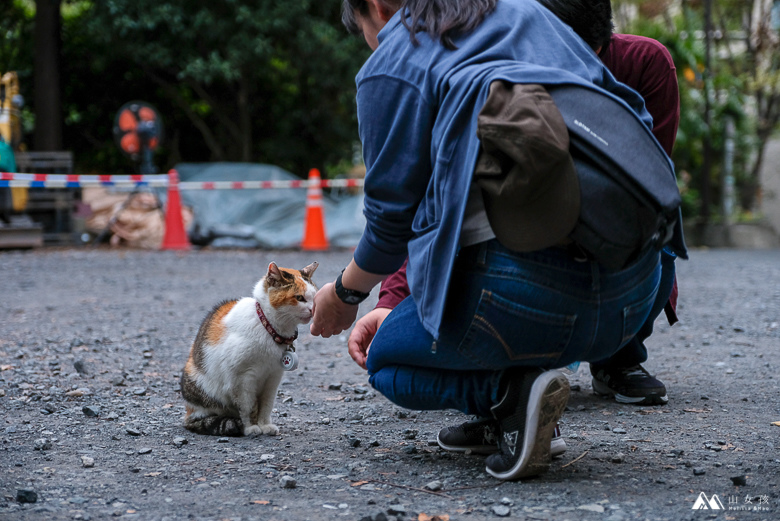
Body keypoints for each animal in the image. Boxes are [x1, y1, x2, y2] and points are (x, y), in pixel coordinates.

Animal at [181, 260, 318, 434]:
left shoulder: (273, 377)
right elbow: (248, 407)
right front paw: (251, 427)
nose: (313, 310)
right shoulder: (242, 380)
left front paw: (264, 425)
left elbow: (266, 405)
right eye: (299, 298)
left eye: (315, 296)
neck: (268, 327)